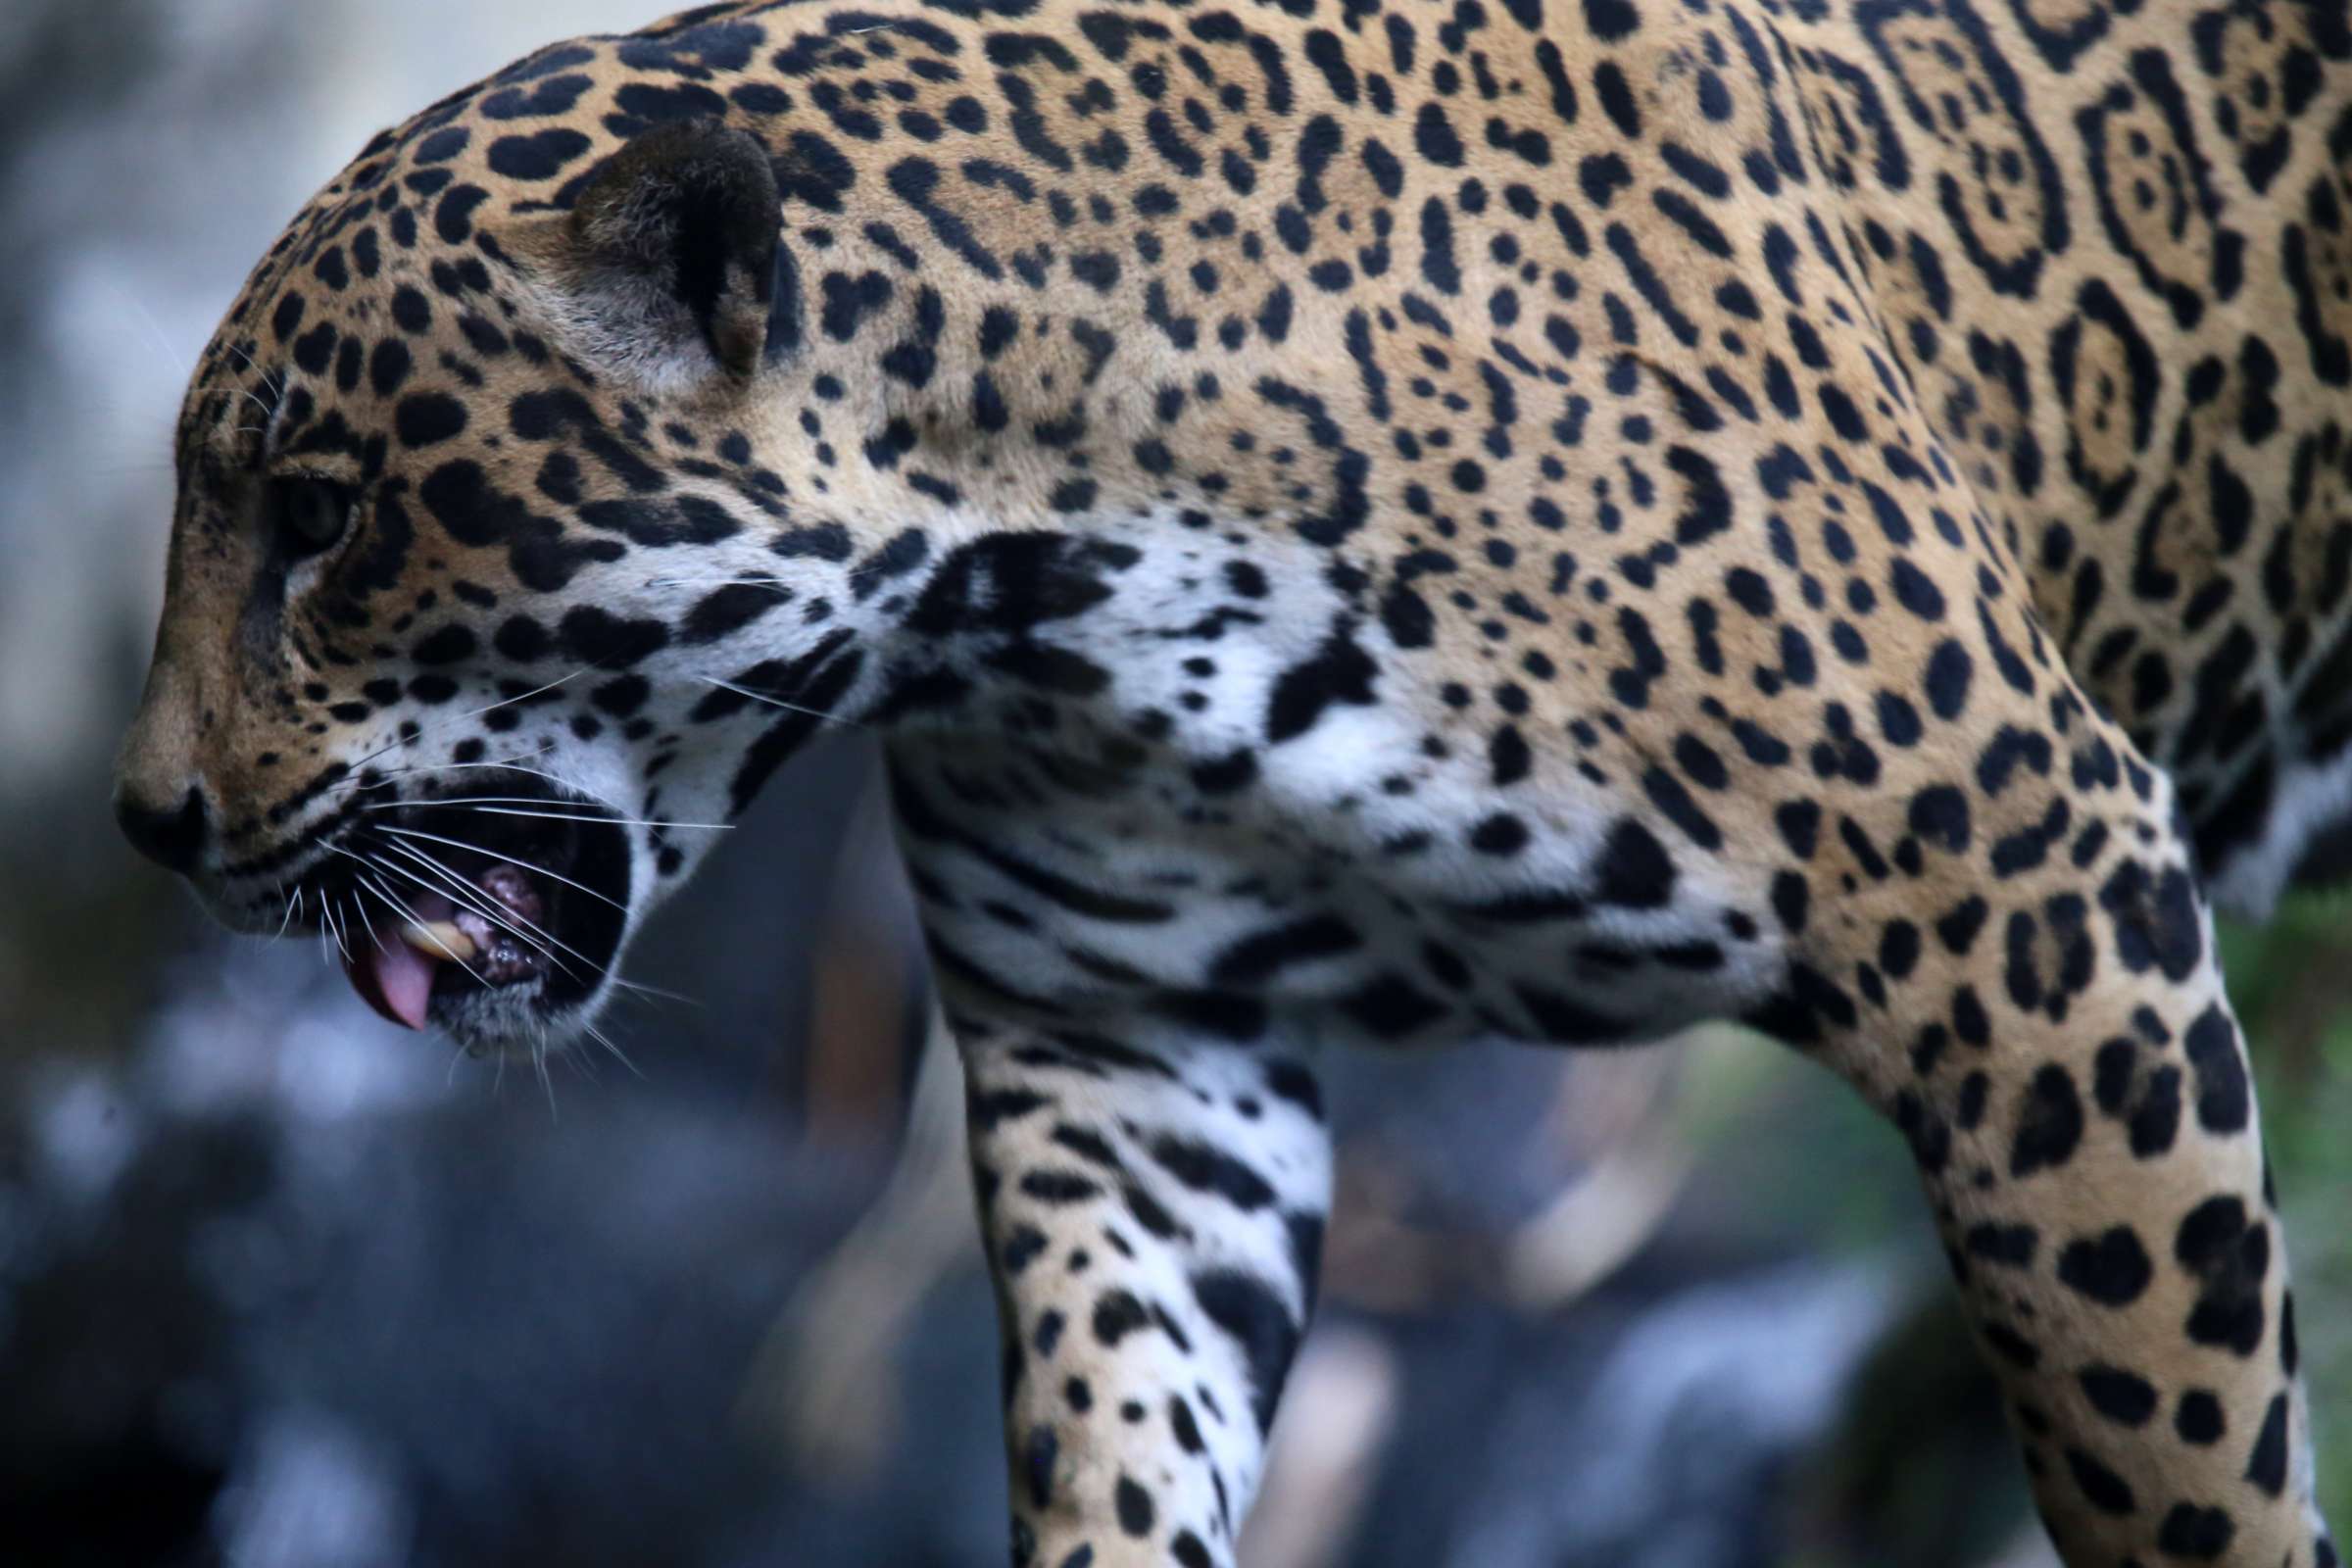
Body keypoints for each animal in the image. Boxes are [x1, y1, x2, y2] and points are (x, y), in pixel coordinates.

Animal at [111, 0, 2349, 1561]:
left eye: (319, 518)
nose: (148, 822)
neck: (1059, 581)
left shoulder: (2039, 932)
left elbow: (2181, 1455)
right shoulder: (1131, 1058)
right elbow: (1117, 1431)